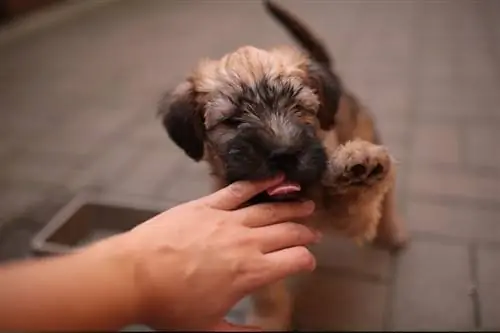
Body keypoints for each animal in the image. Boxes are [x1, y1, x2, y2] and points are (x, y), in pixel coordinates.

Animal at [158, 0, 408, 326]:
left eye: (299, 108)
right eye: (232, 120)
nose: (284, 152)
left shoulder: (348, 220)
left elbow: (358, 204)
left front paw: (358, 168)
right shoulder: (253, 243)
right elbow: (267, 292)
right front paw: (268, 320)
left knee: (388, 192)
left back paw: (392, 229)